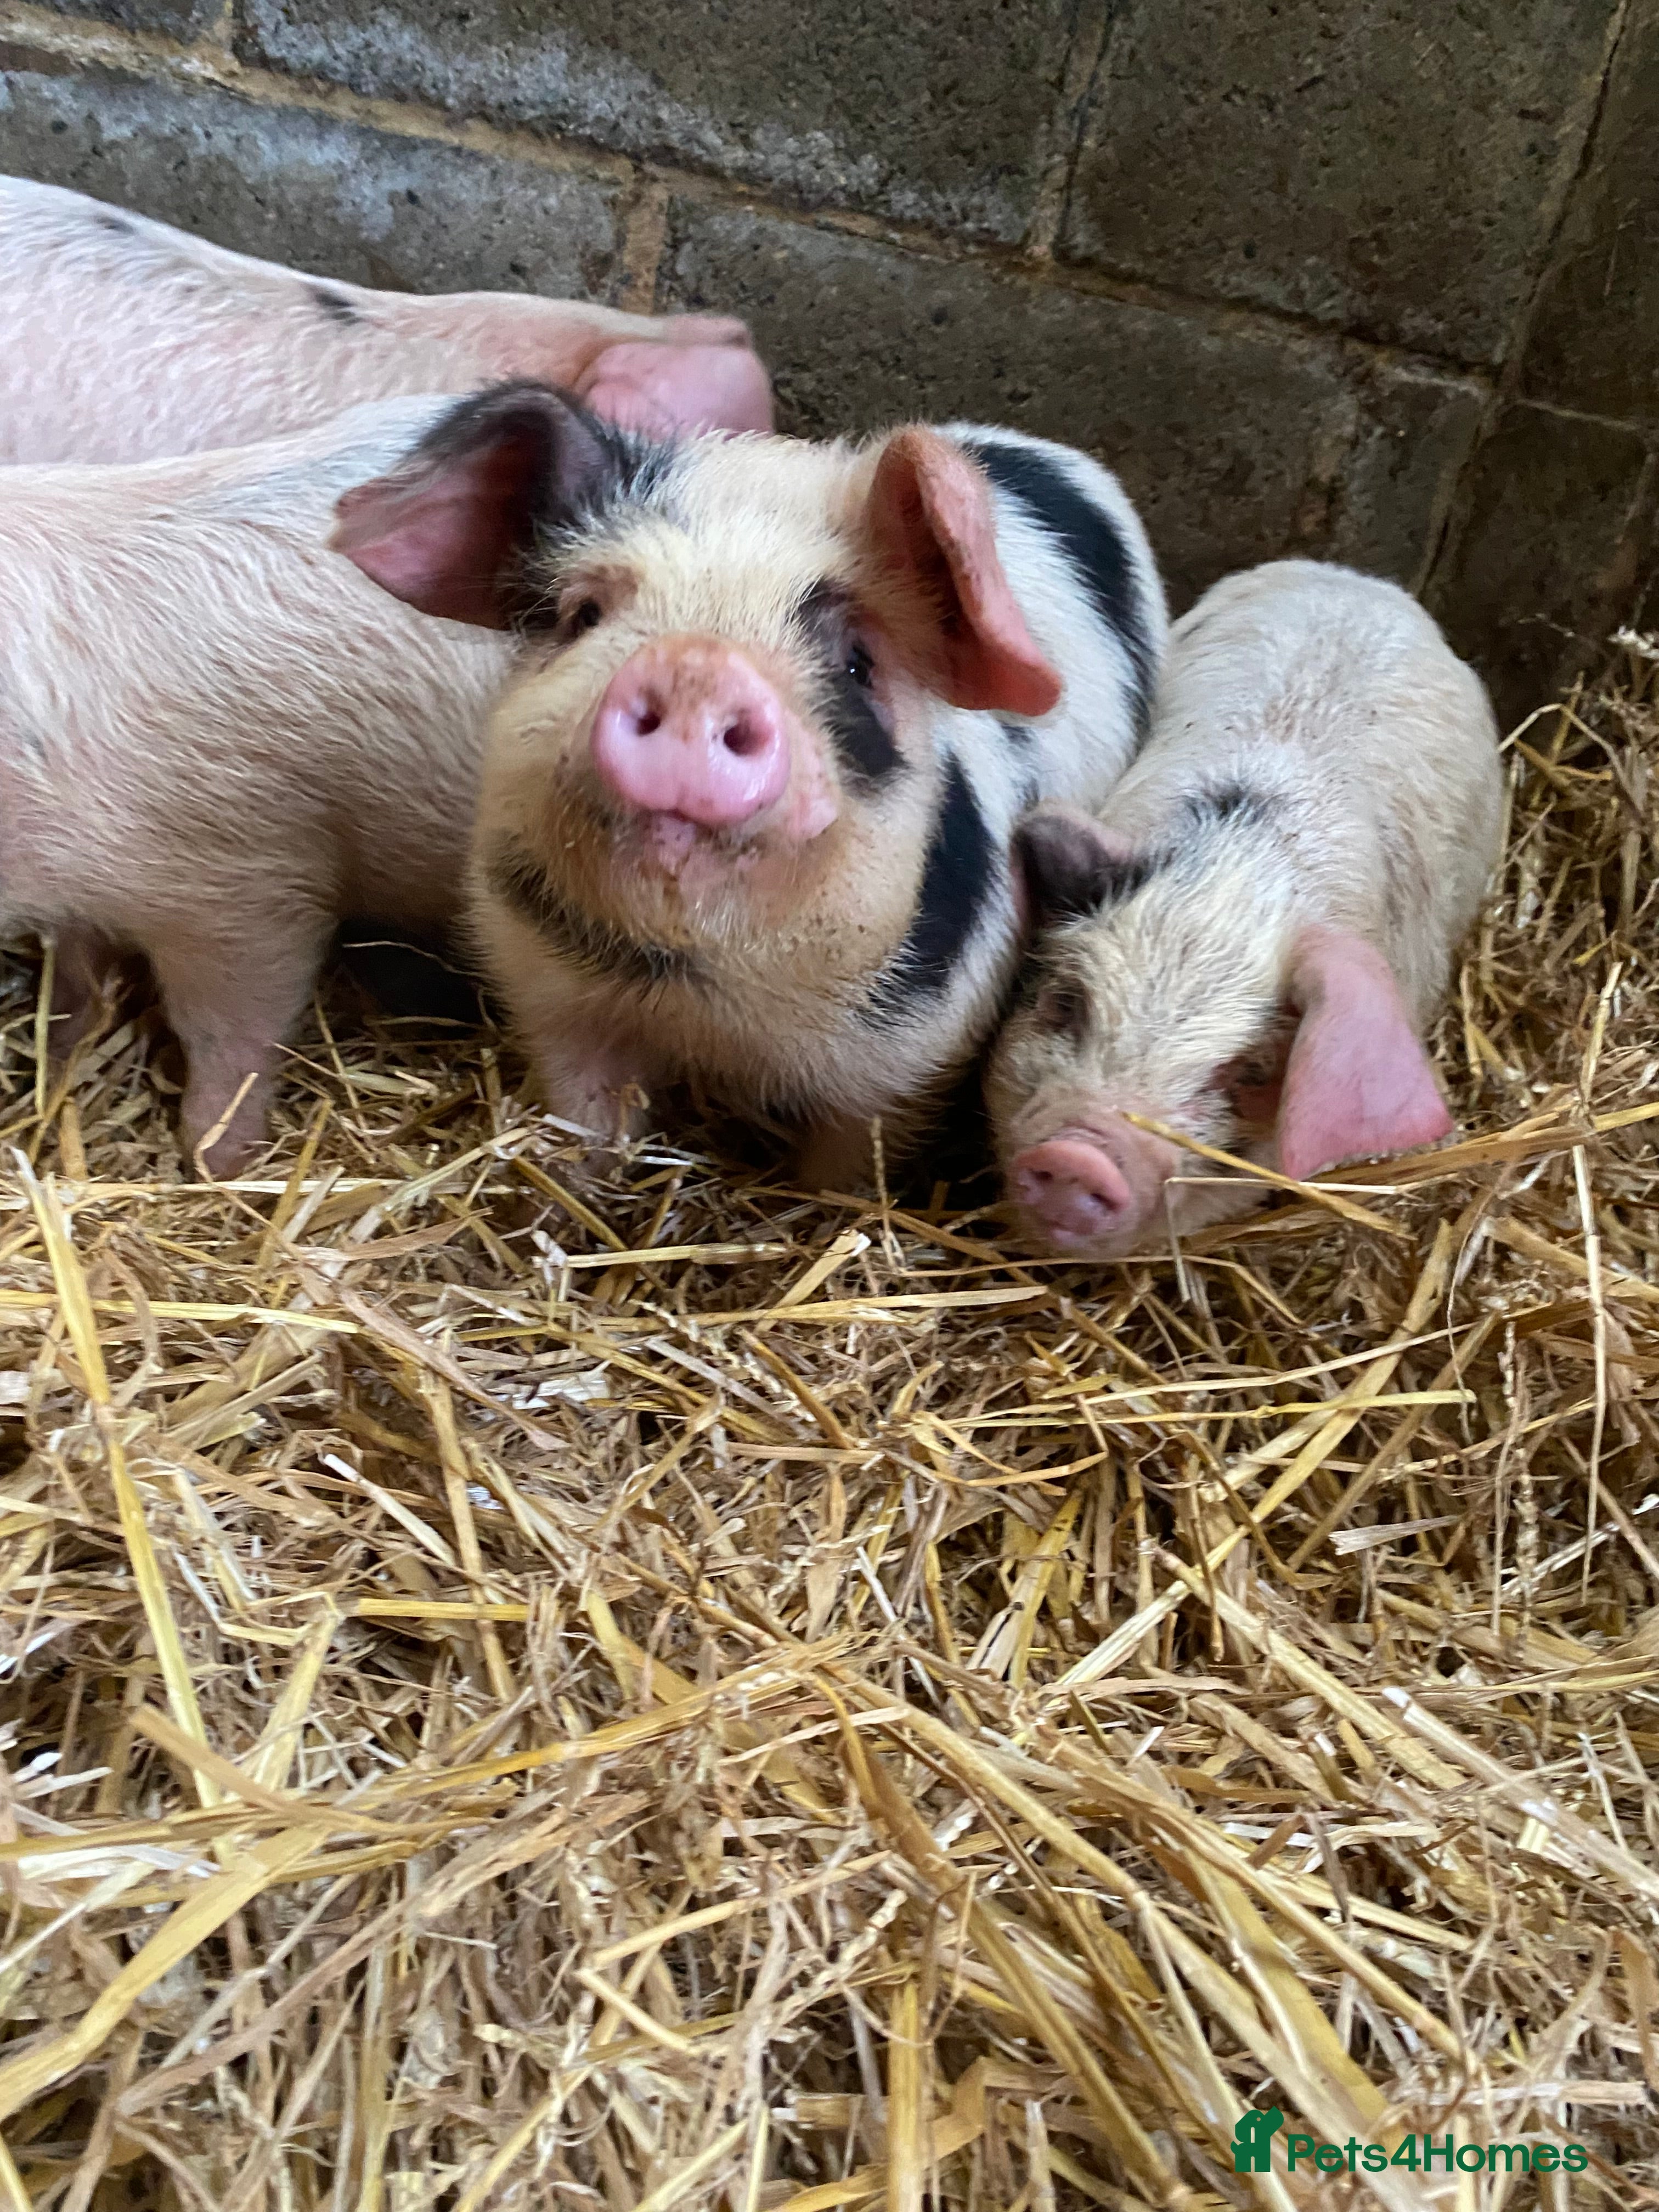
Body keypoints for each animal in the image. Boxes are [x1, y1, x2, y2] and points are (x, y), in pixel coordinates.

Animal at [328, 382, 1169, 1185]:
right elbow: (586, 1118)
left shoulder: (909, 1059)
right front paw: (576, 1191)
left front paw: (818, 1205)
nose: (695, 665)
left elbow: (846, 1171)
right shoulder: (551, 996)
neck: (691, 993)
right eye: (583, 615)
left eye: (858, 663)